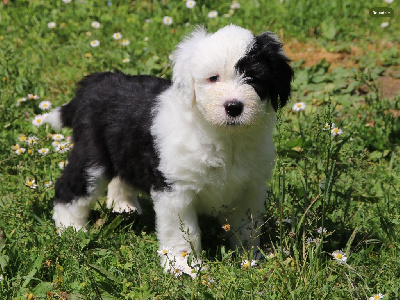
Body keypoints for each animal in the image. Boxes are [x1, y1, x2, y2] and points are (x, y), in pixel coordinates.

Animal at [46, 24, 294, 276]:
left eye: (254, 78)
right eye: (213, 78)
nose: (234, 107)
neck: (224, 138)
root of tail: (93, 84)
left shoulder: (250, 189)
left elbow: (246, 228)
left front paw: (249, 259)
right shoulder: (175, 190)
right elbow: (183, 234)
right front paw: (184, 268)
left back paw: (124, 206)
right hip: (93, 156)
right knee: (69, 189)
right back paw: (72, 231)